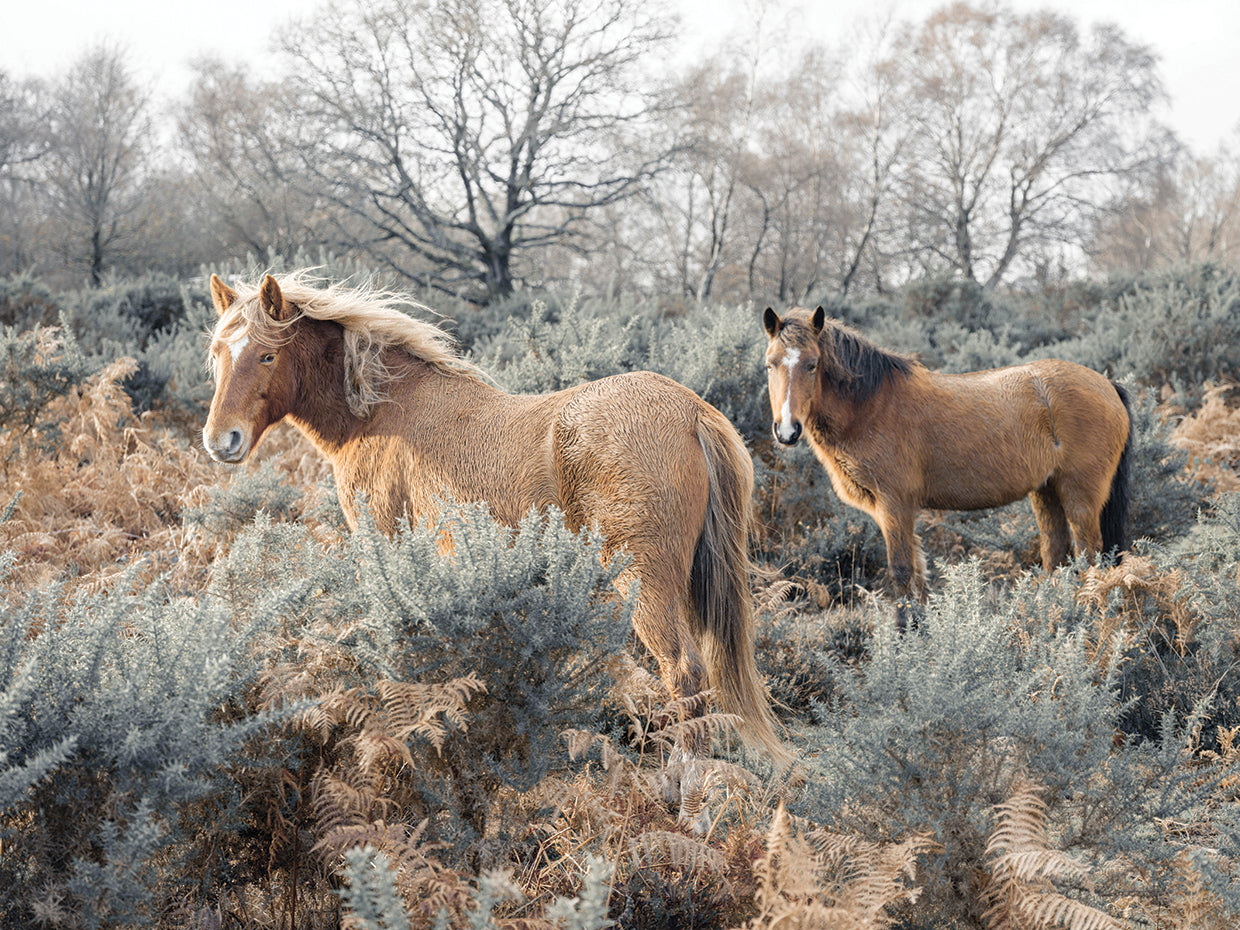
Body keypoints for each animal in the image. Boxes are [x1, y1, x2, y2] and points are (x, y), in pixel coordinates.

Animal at [202, 271, 786, 764]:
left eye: (267, 356)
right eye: (218, 353)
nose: (220, 440)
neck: (381, 412)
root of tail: (691, 412)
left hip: (645, 583)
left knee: (682, 670)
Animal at [761, 305, 1132, 621]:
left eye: (812, 364)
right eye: (770, 364)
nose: (787, 430)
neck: (871, 406)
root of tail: (1107, 385)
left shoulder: (895, 505)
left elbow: (901, 571)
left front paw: (905, 634)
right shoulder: (893, 511)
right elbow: (918, 573)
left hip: (1080, 498)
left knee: (1090, 557)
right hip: (1046, 492)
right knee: (1057, 555)